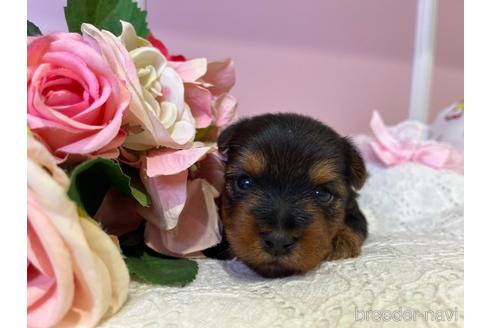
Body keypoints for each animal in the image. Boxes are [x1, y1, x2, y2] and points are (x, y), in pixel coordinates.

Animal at [209, 113, 368, 280]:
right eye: (244, 182)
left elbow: (356, 223)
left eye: (323, 194)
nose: (278, 241)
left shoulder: (353, 208)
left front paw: (342, 242)